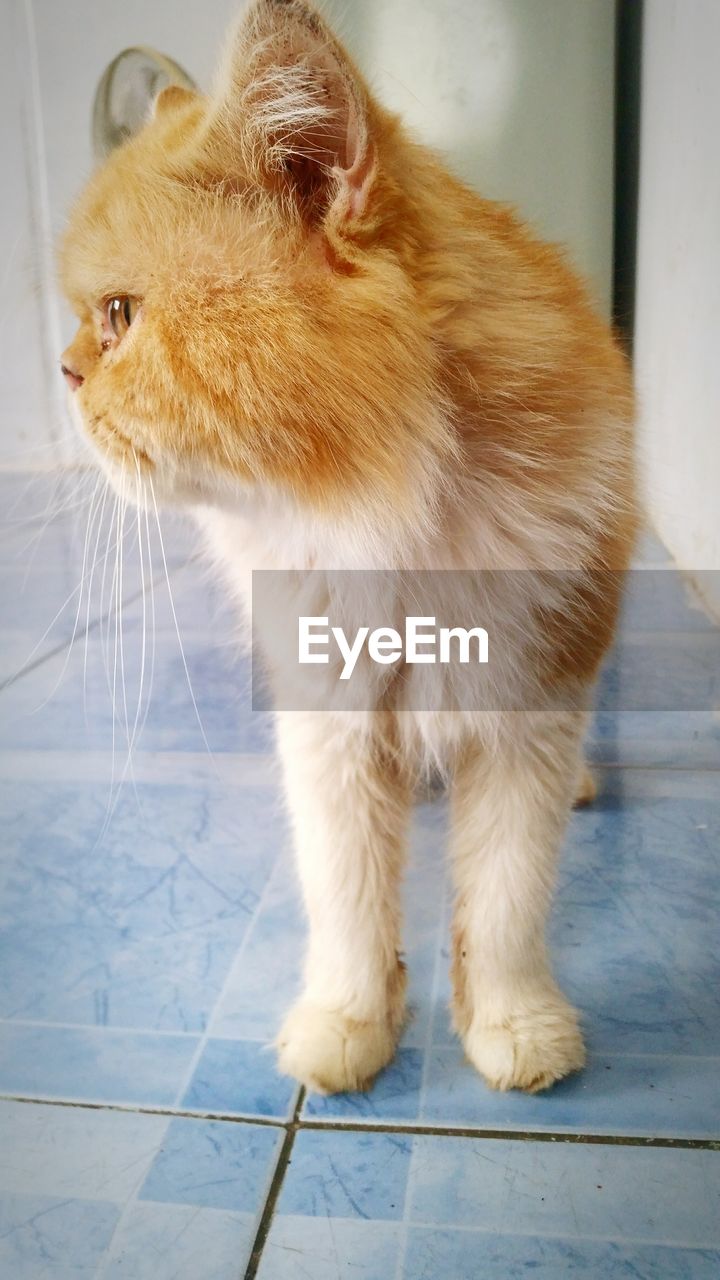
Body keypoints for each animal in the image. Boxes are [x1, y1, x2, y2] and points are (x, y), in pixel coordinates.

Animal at [60, 2, 632, 1100]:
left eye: (117, 317)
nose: (60, 372)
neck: (385, 526)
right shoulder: (326, 724)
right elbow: (348, 898)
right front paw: (349, 1023)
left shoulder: (529, 710)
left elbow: (506, 902)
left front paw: (514, 1023)